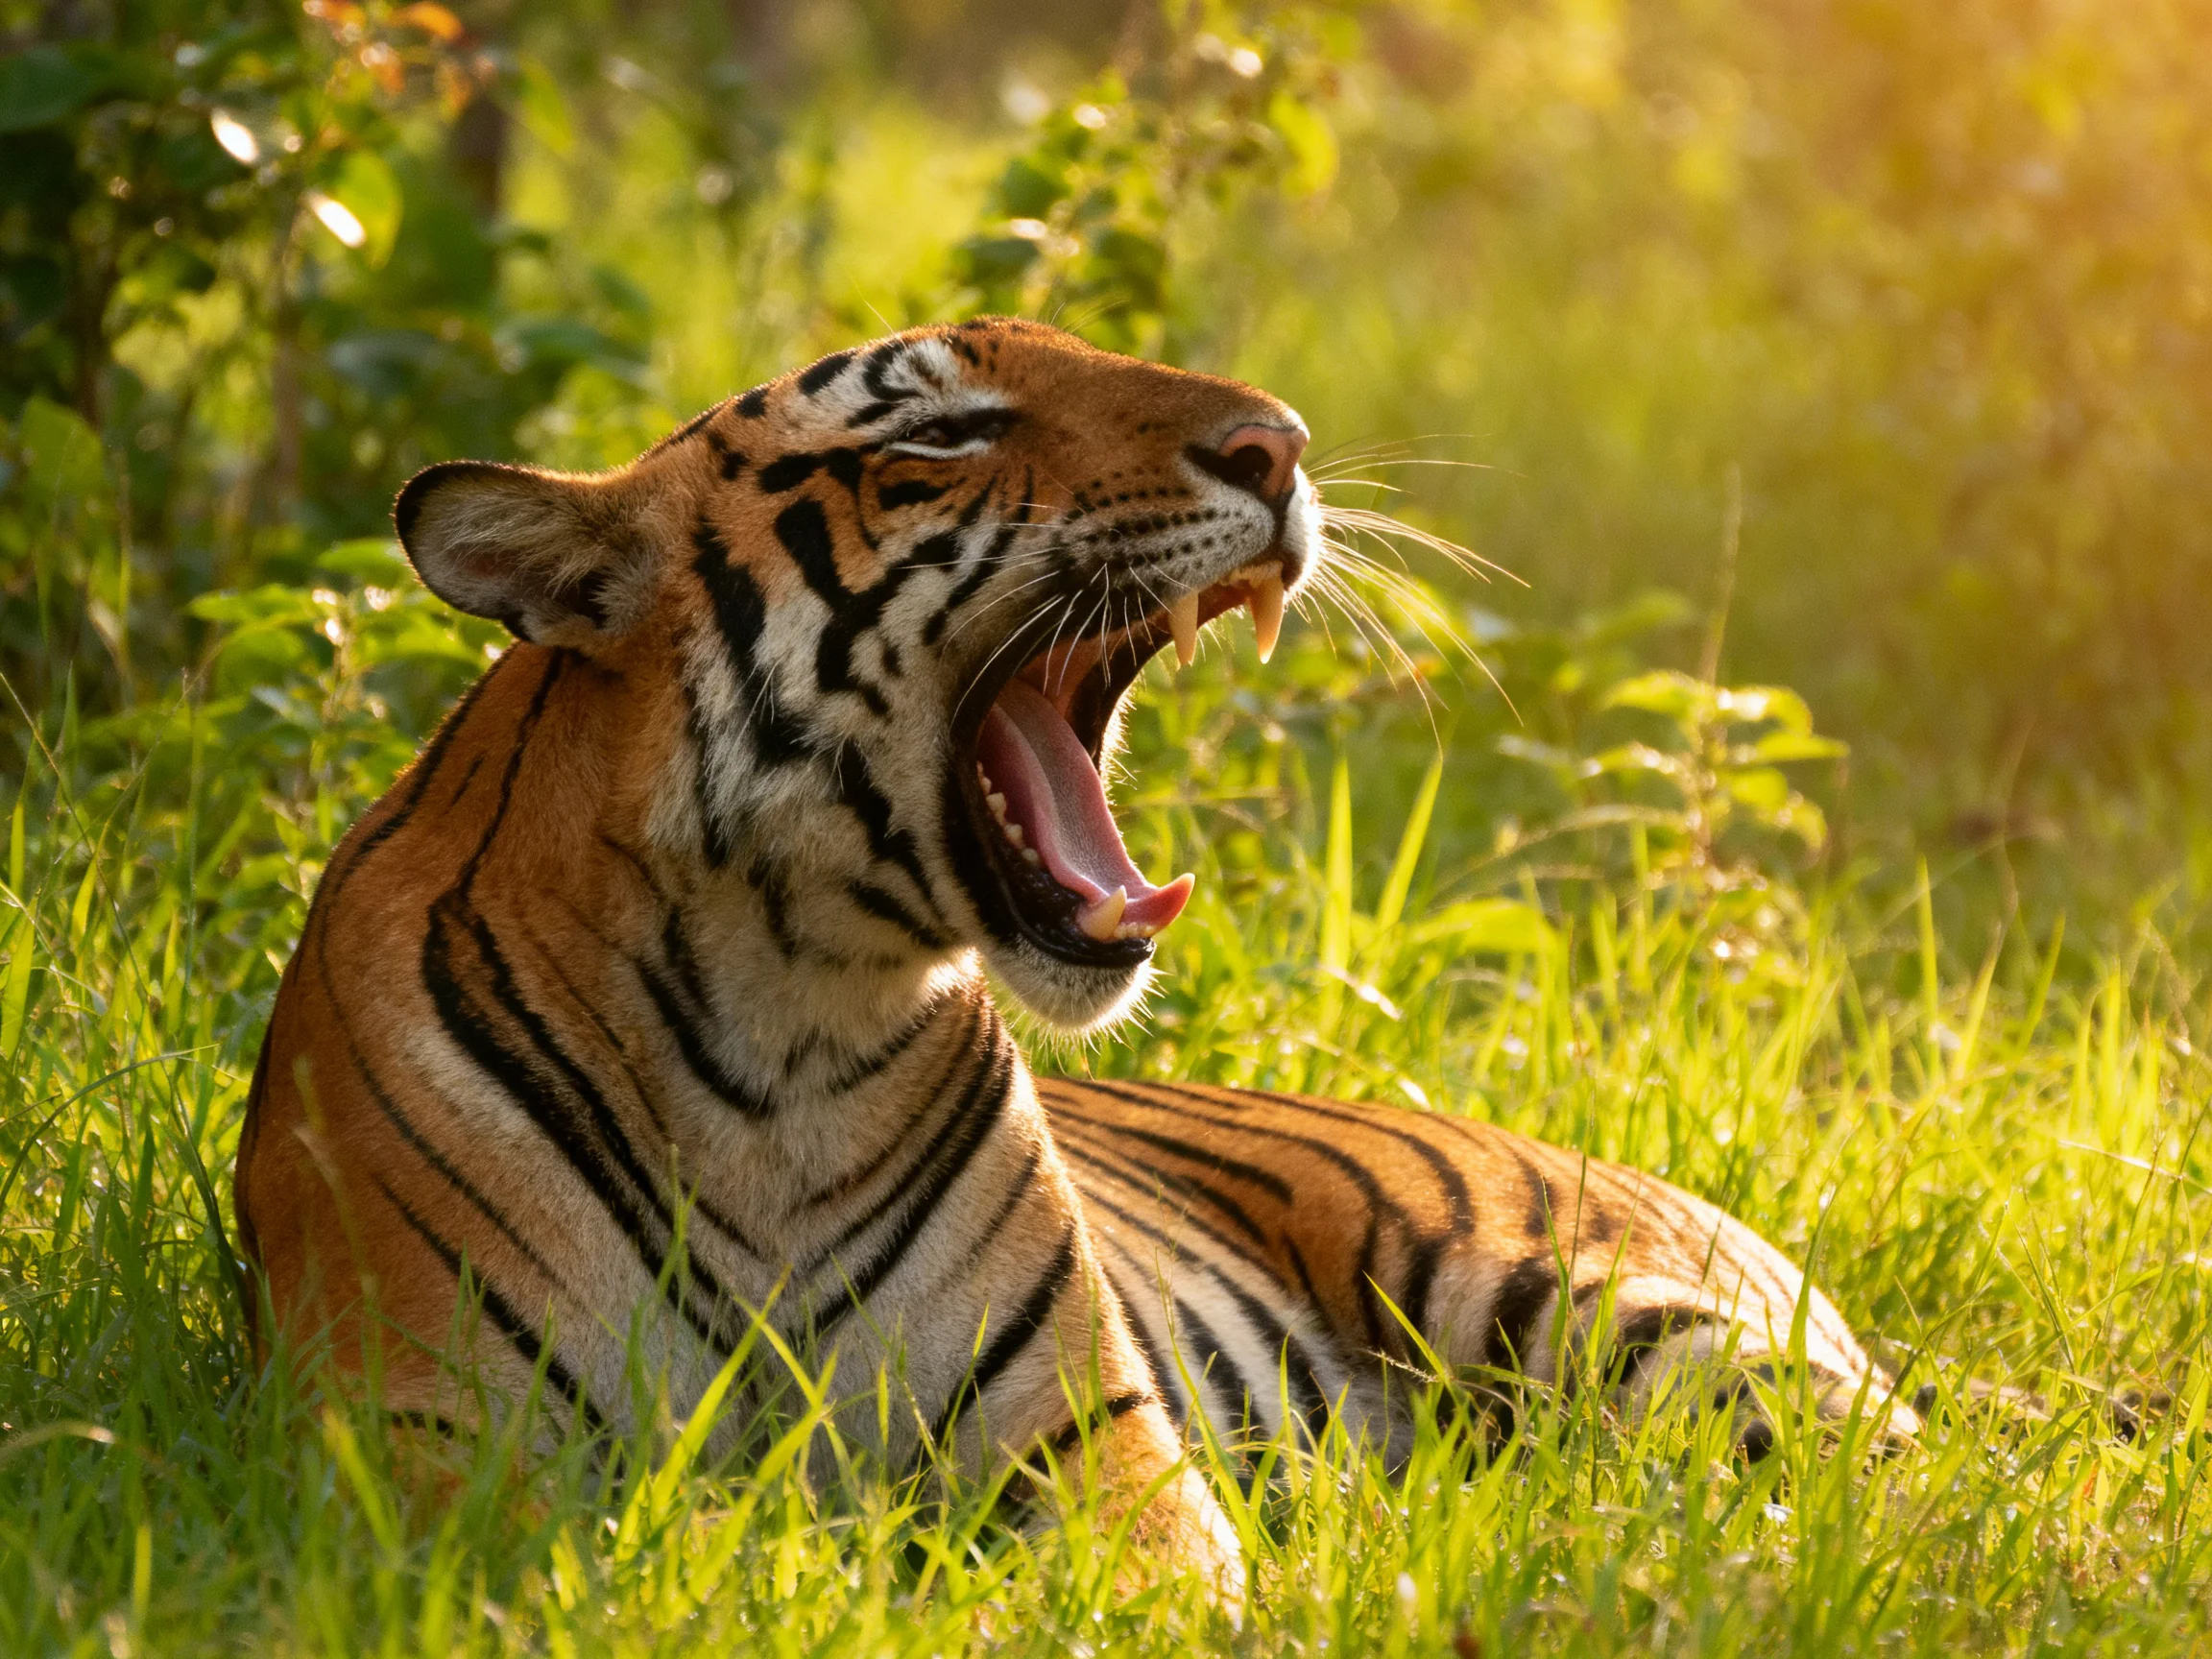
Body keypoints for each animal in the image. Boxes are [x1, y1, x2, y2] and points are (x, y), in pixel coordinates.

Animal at [233, 317, 1918, 1597]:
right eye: (942, 432)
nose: (1282, 445)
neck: (783, 1035)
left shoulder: (1089, 1439)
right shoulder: (425, 1437)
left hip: (1583, 1308)